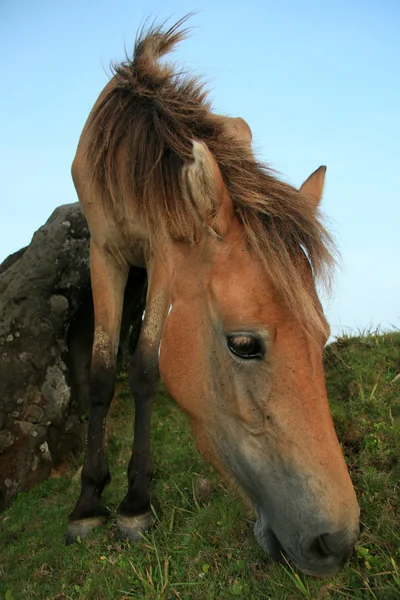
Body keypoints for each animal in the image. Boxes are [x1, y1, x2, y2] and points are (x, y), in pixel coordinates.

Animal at [68, 17, 360, 576]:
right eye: (244, 344)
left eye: (322, 338)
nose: (336, 542)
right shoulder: (104, 253)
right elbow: (100, 375)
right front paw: (89, 504)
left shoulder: (164, 255)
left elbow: (144, 369)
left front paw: (135, 504)